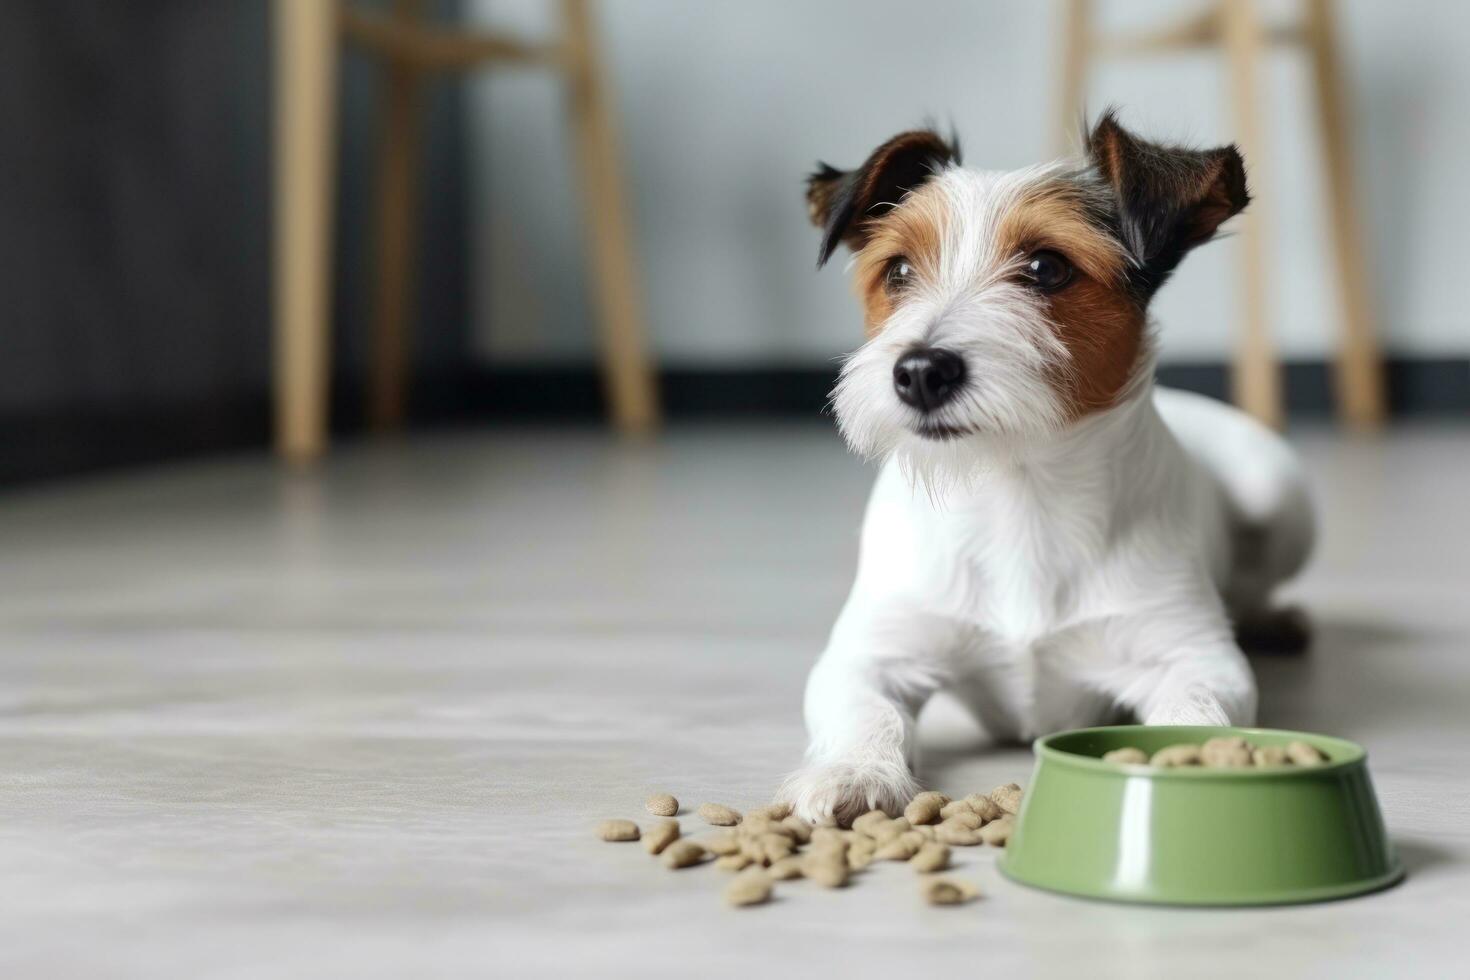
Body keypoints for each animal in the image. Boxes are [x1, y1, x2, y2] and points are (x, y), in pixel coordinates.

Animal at [776, 110, 1317, 822]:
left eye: (1046, 267)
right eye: (897, 270)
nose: (919, 372)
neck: (1018, 488)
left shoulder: (1192, 654)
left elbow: (1194, 709)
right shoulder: (870, 653)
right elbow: (866, 711)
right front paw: (854, 771)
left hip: (1282, 498)